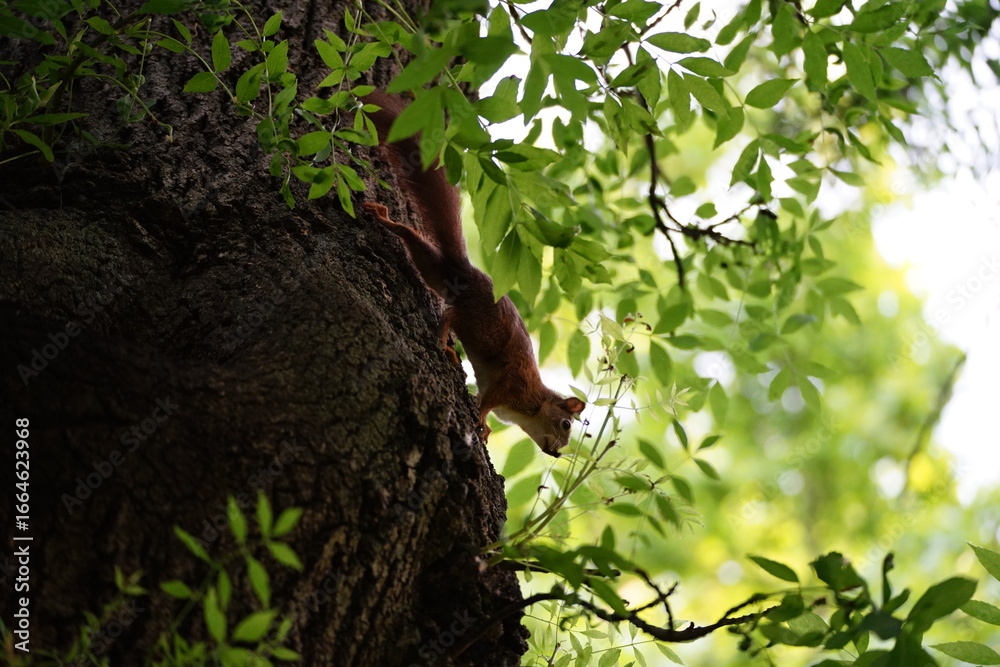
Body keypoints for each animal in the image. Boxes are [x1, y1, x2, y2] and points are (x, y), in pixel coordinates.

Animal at [357, 90, 585, 457]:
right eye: (565, 424)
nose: (559, 452)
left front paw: (487, 429)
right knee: (449, 314)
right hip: (477, 321)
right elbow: (486, 401)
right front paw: (480, 421)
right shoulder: (511, 385)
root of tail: (467, 272)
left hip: (435, 271)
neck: (533, 403)